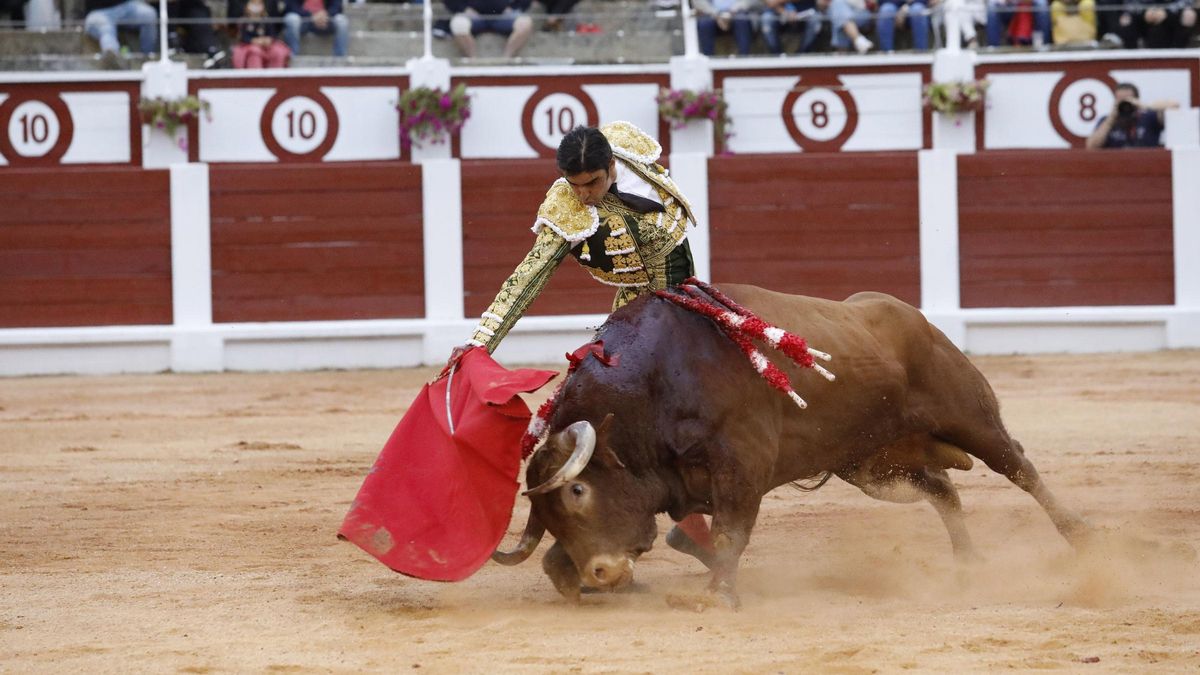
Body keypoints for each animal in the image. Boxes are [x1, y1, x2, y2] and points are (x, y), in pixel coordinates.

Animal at [492, 283, 1094, 605]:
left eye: (577, 493)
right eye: (549, 515)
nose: (602, 573)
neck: (654, 384)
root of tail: (912, 316)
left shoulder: (741, 467)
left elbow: (731, 533)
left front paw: (717, 596)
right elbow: (555, 565)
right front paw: (574, 582)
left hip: (970, 417)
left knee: (1020, 468)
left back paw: (1081, 538)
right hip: (874, 469)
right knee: (945, 492)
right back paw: (968, 562)